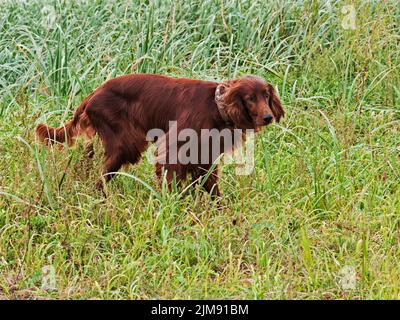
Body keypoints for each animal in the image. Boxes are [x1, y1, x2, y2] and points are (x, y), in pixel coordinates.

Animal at [36, 74, 282, 198]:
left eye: (266, 95)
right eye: (249, 98)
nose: (268, 117)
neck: (216, 107)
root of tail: (93, 93)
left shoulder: (204, 156)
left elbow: (211, 185)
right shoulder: (174, 147)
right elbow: (171, 176)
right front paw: (172, 203)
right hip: (126, 144)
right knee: (103, 174)